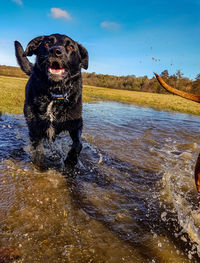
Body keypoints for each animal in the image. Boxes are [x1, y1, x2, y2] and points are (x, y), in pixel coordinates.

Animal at [14, 33, 88, 167]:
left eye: (70, 47)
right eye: (47, 43)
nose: (56, 51)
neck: (55, 94)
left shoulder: (76, 123)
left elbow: (78, 144)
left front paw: (71, 160)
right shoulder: (35, 127)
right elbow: (37, 149)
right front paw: (38, 163)